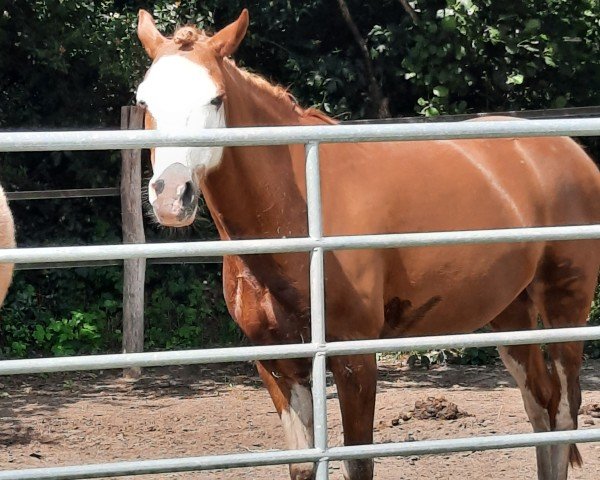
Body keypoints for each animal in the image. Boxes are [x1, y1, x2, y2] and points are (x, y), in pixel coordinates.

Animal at [136, 8, 600, 480]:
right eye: (143, 102)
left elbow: (358, 463)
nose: (172, 196)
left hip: (566, 307)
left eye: (216, 99)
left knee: (564, 409)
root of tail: (570, 151)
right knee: (540, 406)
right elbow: (302, 464)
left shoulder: (354, 356)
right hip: (510, 312)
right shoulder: (277, 362)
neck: (301, 207)